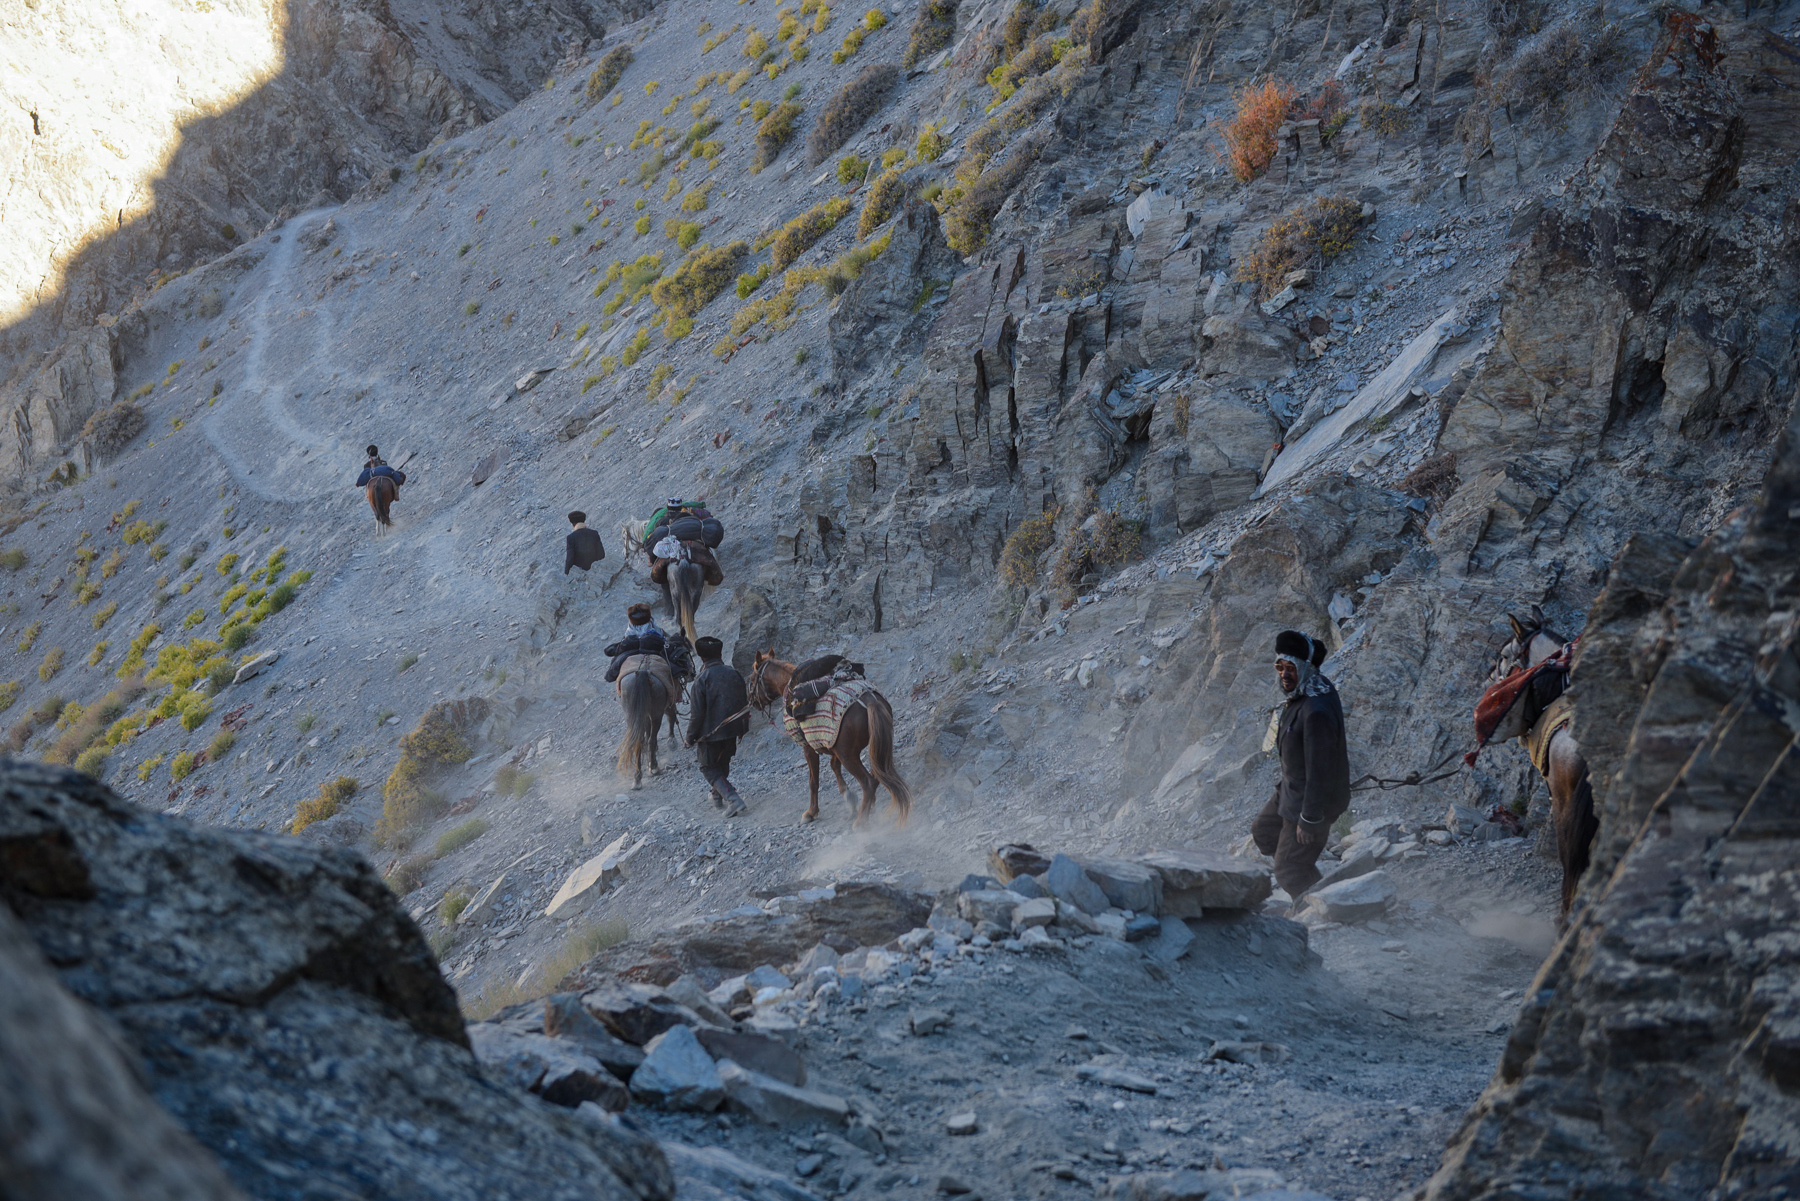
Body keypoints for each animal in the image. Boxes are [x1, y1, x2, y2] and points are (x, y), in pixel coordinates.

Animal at [748, 651, 914, 831]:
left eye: (751, 679)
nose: (752, 703)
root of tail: (870, 702)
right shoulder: (833, 744)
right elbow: (834, 765)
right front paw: (849, 798)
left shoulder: (809, 747)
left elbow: (813, 781)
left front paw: (811, 813)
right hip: (876, 748)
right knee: (877, 776)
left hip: (849, 756)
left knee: (868, 782)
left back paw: (861, 821)